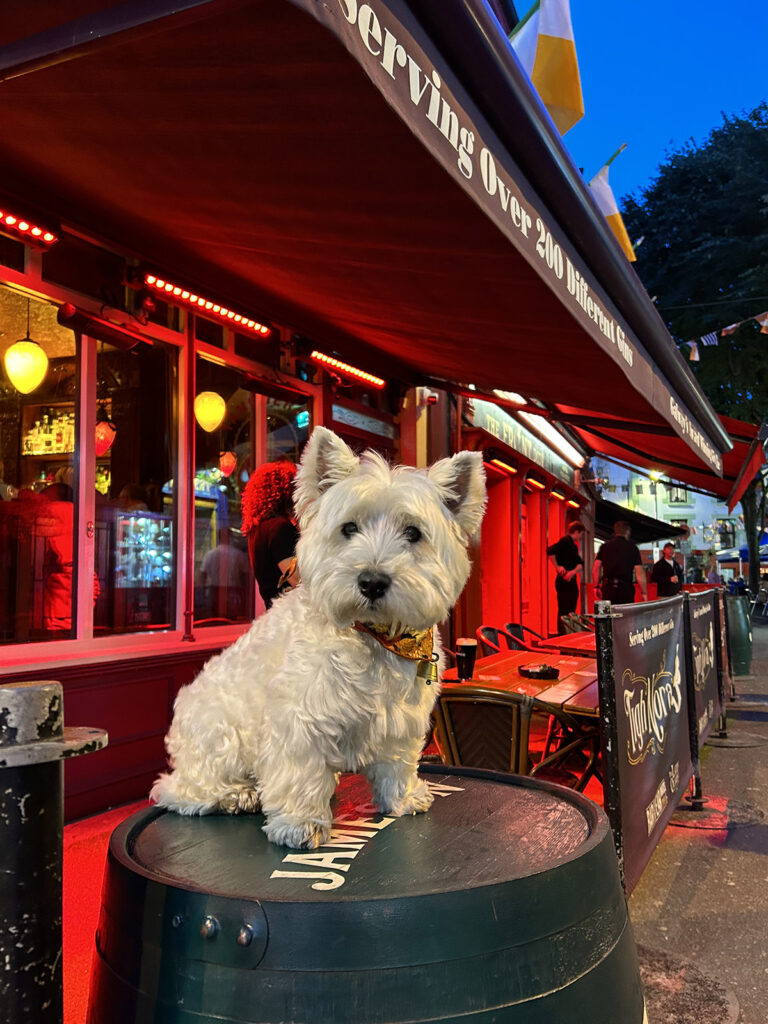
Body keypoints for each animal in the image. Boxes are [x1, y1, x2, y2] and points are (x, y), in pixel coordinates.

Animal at [151, 423, 487, 847]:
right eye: (349, 528)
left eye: (413, 532)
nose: (371, 581)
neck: (376, 637)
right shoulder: (298, 715)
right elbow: (300, 771)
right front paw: (301, 824)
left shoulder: (402, 719)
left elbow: (396, 762)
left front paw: (404, 798)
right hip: (220, 736)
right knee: (178, 791)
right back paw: (238, 795)